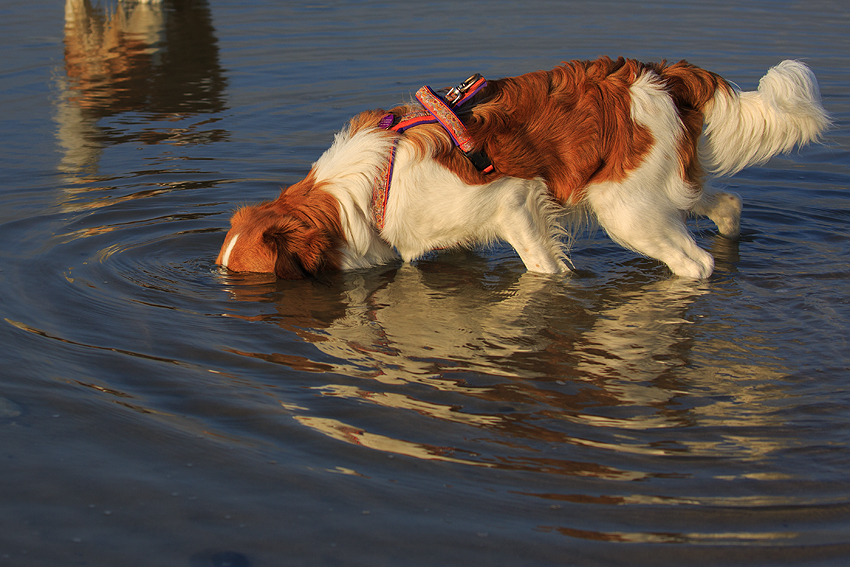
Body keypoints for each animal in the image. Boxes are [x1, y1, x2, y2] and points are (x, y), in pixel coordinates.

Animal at [215, 57, 824, 280]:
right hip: (655, 193)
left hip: (626, 214)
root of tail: (657, 74)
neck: (363, 194)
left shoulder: (513, 203)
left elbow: (543, 270)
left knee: (696, 264)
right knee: (724, 203)